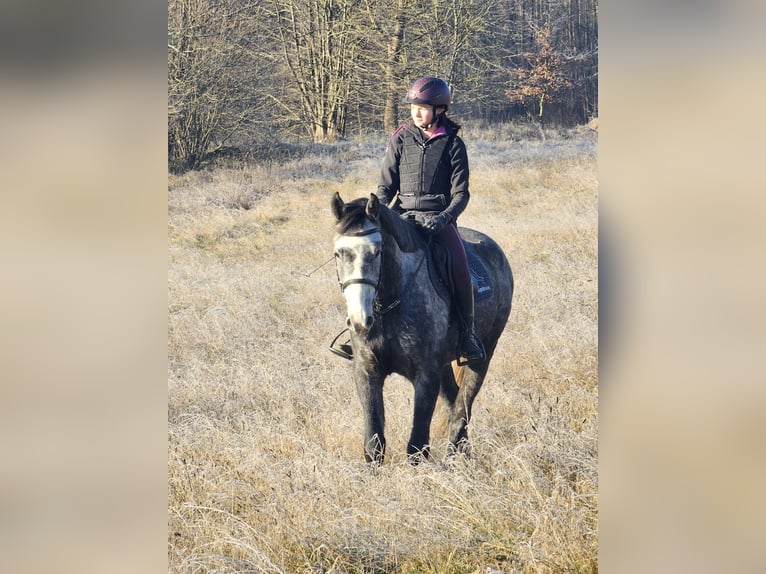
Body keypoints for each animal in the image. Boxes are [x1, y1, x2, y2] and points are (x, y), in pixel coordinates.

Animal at [332, 195, 516, 468]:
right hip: (444, 365)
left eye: (377, 252)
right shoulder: (367, 371)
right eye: (338, 253)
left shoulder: (425, 375)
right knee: (453, 403)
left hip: (483, 354)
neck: (390, 303)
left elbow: (417, 447)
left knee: (462, 409)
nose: (359, 320)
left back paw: (455, 461)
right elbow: (374, 444)